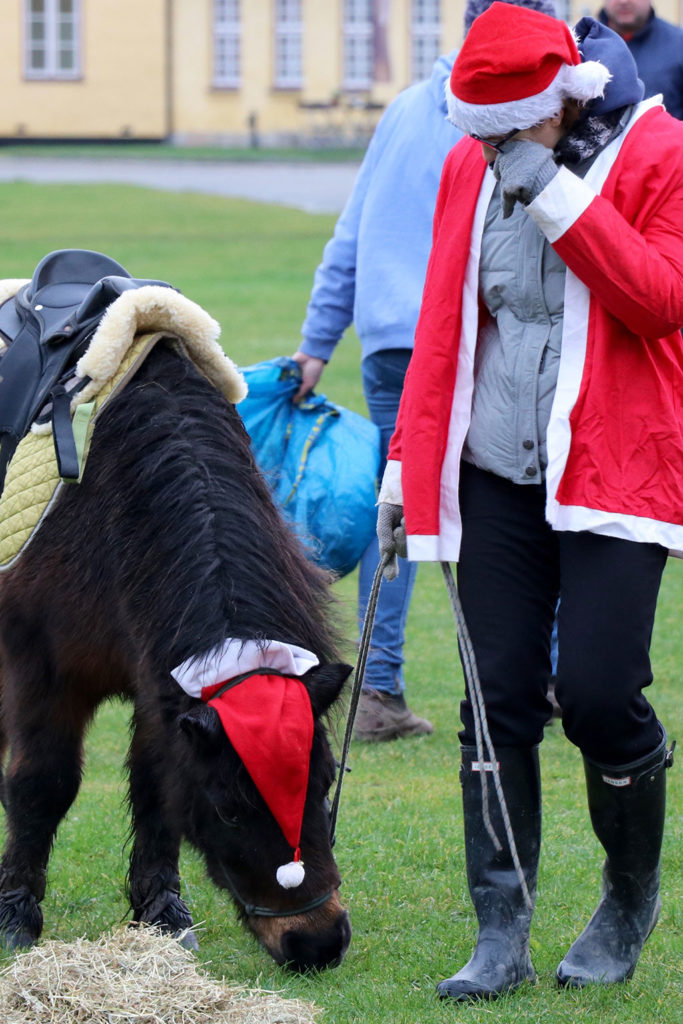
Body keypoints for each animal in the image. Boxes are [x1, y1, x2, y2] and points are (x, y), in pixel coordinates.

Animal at [0, 260, 352, 970]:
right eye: (230, 809)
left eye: (324, 781)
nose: (317, 941)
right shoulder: (41, 669)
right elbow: (40, 784)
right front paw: (17, 916)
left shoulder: (158, 686)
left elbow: (156, 789)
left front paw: (161, 913)